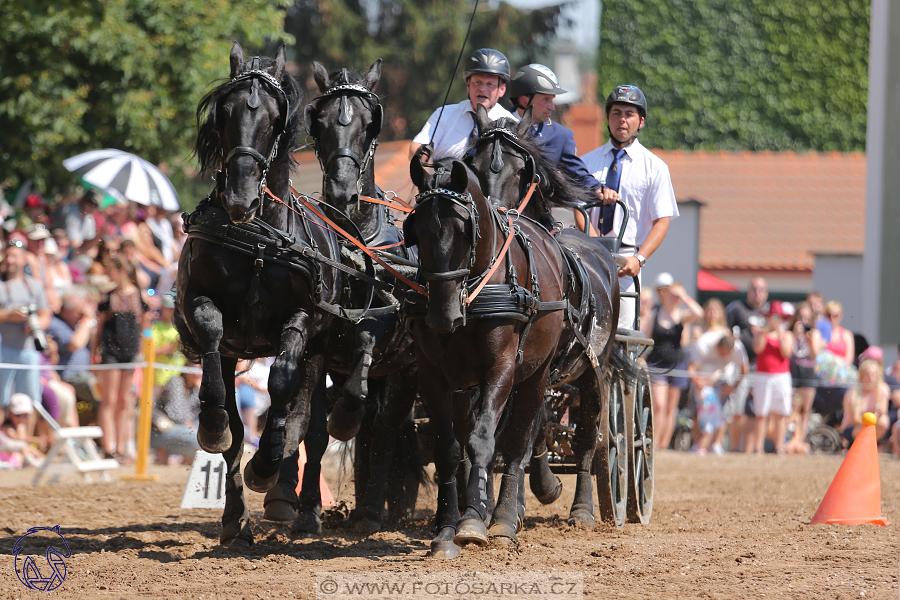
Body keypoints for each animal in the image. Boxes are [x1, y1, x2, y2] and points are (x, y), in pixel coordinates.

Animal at [174, 44, 342, 548]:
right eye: (224, 115)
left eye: (272, 119)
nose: (240, 199)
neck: (259, 242)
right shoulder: (204, 308)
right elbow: (214, 352)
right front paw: (211, 428)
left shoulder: (302, 317)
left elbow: (282, 383)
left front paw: (266, 467)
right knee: (235, 421)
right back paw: (236, 519)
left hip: (323, 349)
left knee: (311, 427)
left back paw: (303, 507)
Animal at [468, 105, 636, 528]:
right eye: (473, 165)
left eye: (520, 171)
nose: (489, 214)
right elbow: (506, 430)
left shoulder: (538, 368)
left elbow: (524, 431)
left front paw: (522, 501)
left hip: (596, 371)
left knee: (590, 436)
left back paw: (583, 510)